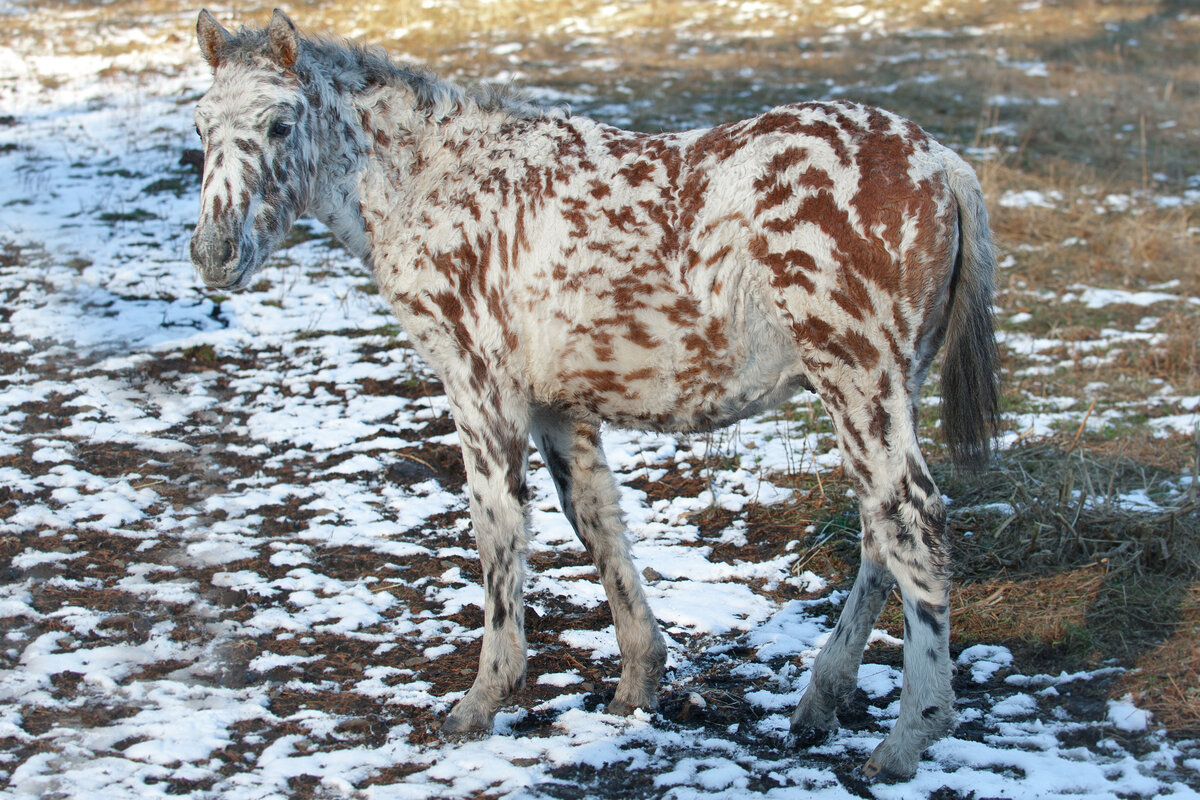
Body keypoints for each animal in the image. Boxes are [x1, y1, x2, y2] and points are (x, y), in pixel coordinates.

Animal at [192, 7, 998, 782]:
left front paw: (482, 699)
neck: (439, 183)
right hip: (885, 392)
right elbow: (595, 520)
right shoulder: (558, 408)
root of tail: (941, 161)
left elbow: (498, 531)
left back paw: (907, 738)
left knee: (913, 523)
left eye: (281, 123)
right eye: (200, 125)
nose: (213, 254)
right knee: (878, 533)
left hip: (860, 383)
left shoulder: (480, 390)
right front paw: (638, 684)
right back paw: (820, 702)